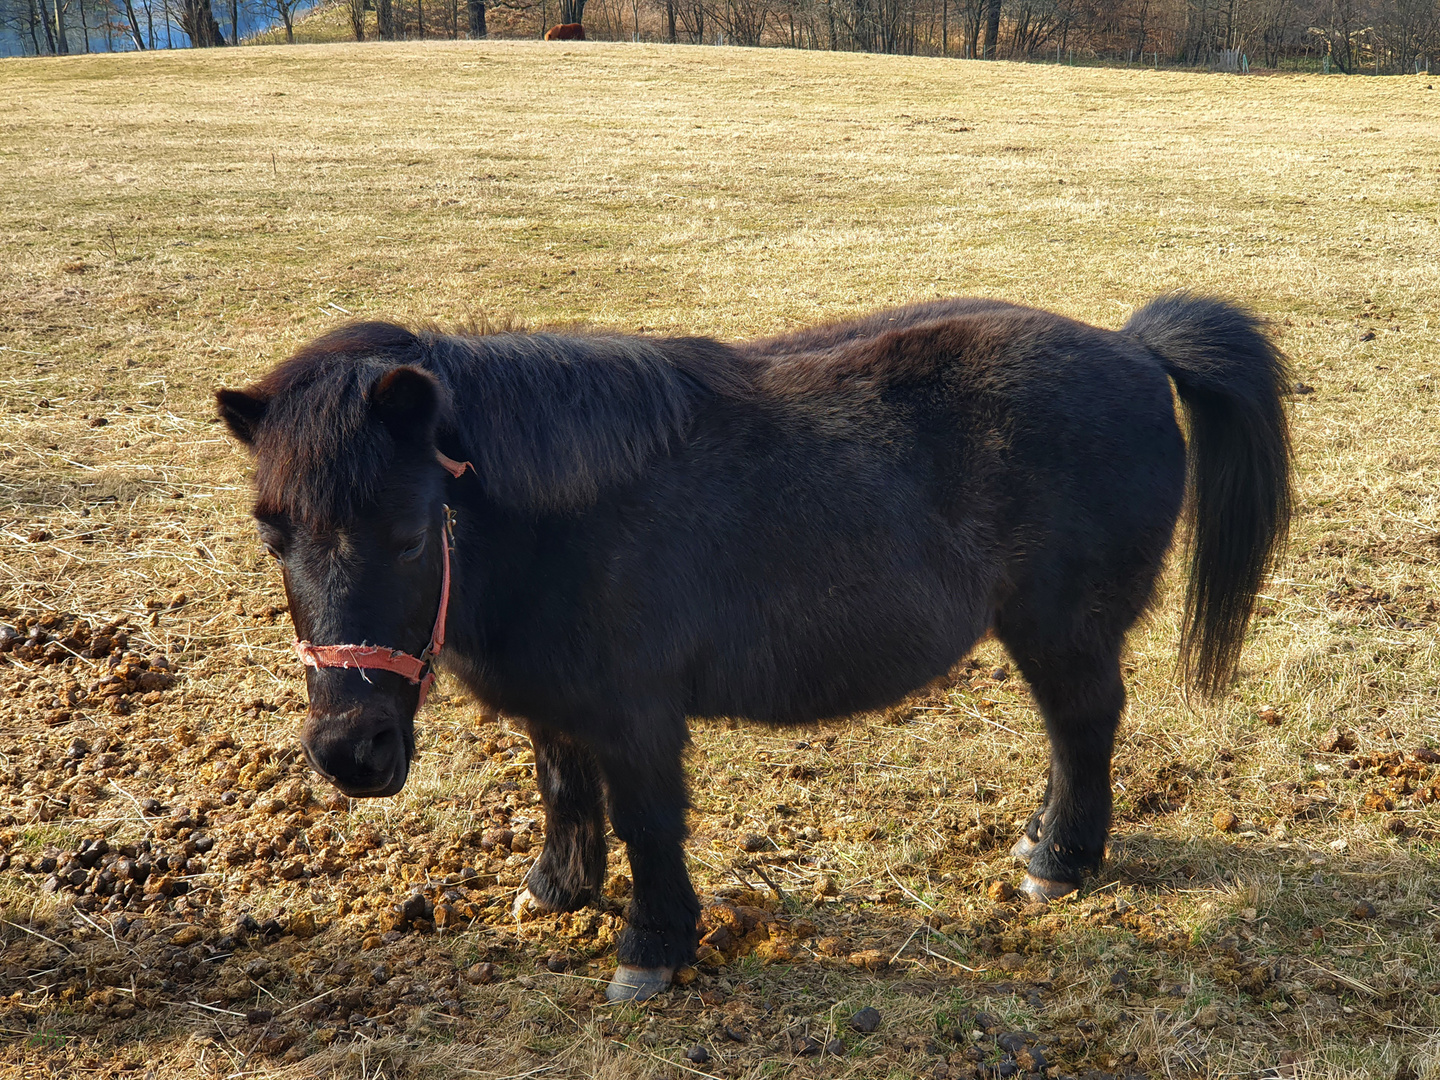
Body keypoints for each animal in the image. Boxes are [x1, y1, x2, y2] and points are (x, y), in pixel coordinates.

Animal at [216, 298, 1296, 1008]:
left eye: (408, 532)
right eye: (271, 532)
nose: (351, 753)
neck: (559, 520)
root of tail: (1133, 348)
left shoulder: (636, 714)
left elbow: (648, 823)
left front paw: (652, 948)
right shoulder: (559, 703)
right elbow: (564, 789)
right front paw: (557, 890)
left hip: (1060, 627)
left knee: (1084, 725)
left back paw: (1061, 861)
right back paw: (1039, 840)